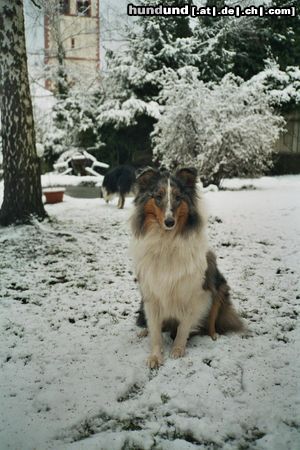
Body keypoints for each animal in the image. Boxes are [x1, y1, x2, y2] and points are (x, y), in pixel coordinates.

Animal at [130, 169, 243, 370]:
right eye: (158, 197)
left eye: (178, 197)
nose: (169, 222)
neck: (166, 242)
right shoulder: (151, 294)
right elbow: (156, 331)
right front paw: (155, 357)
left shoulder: (196, 293)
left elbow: (184, 325)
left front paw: (177, 350)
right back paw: (143, 332)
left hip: (220, 289)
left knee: (211, 321)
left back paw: (213, 335)